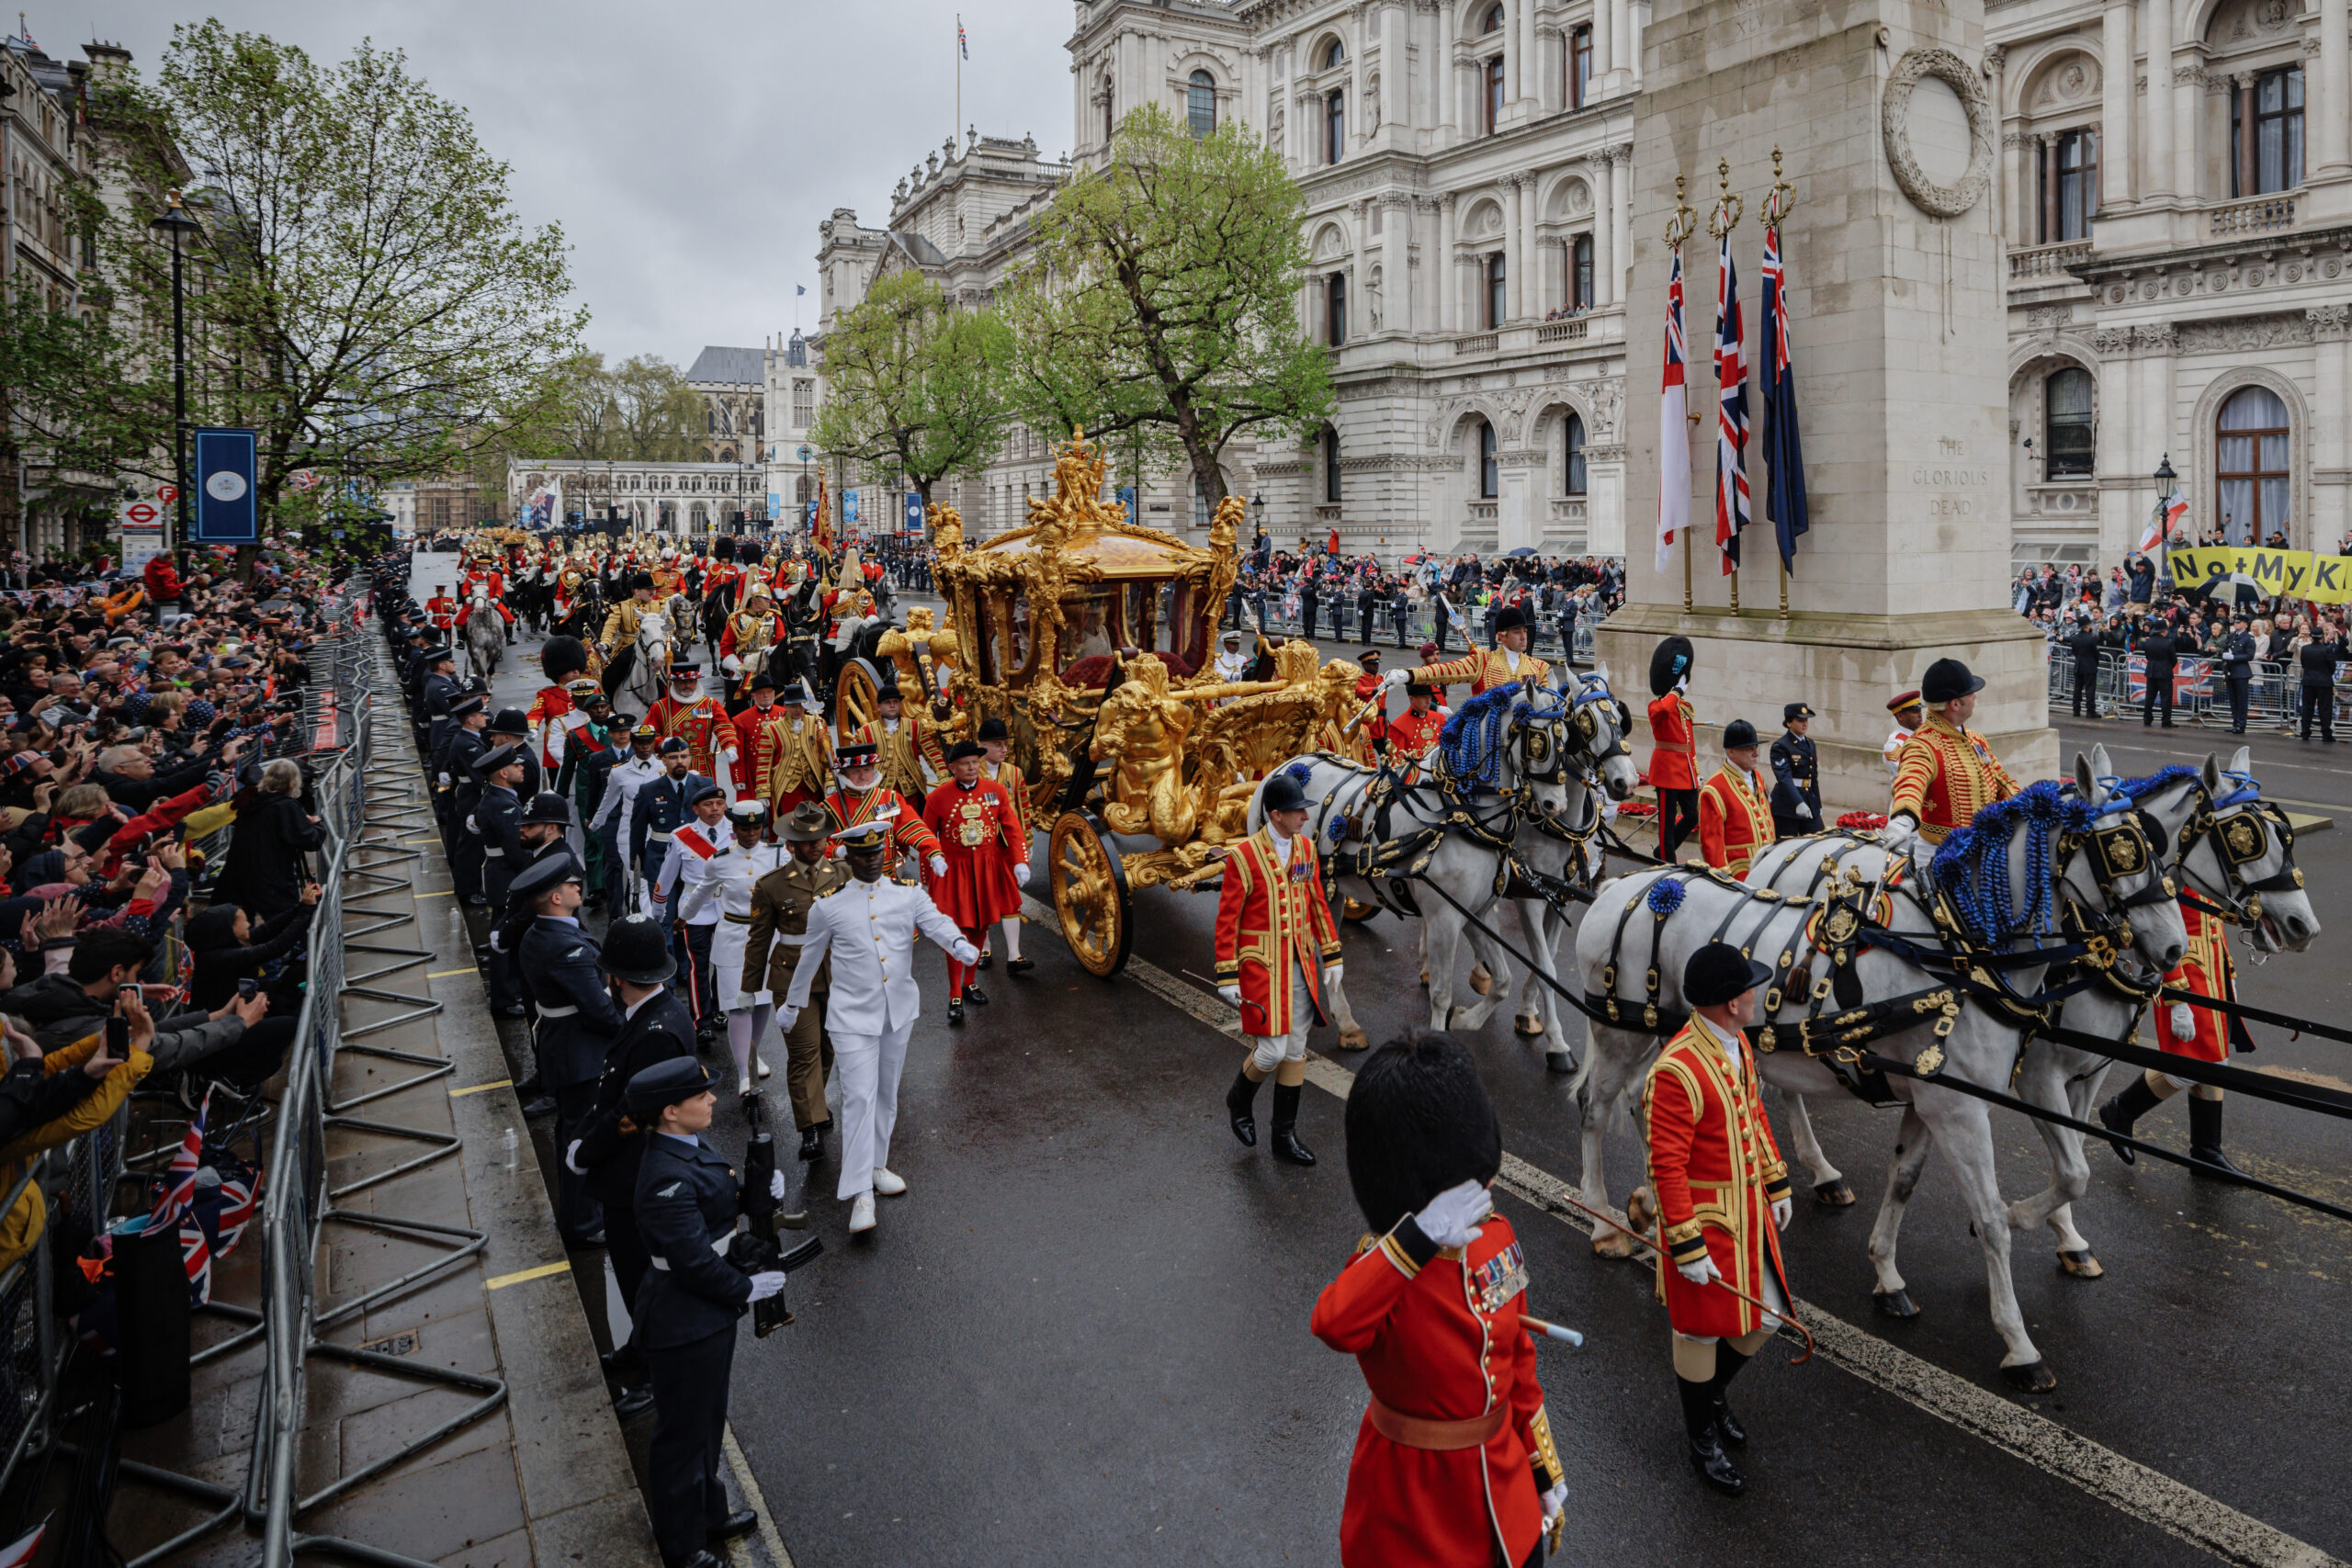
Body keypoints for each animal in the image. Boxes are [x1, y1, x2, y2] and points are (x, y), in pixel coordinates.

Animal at [1571, 766, 2191, 1392]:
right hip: (1619, 1035)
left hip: (1669, 1034)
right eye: (2119, 848)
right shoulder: (1962, 1108)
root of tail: (1624, 888)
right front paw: (2018, 1342)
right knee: (1596, 1111)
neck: (1957, 955)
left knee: (1652, 1106)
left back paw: (1657, 1205)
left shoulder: (1931, 1099)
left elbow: (1906, 1181)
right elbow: (1994, 1217)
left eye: (2155, 842)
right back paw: (1604, 1223)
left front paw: (1888, 1275)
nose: (2173, 948)